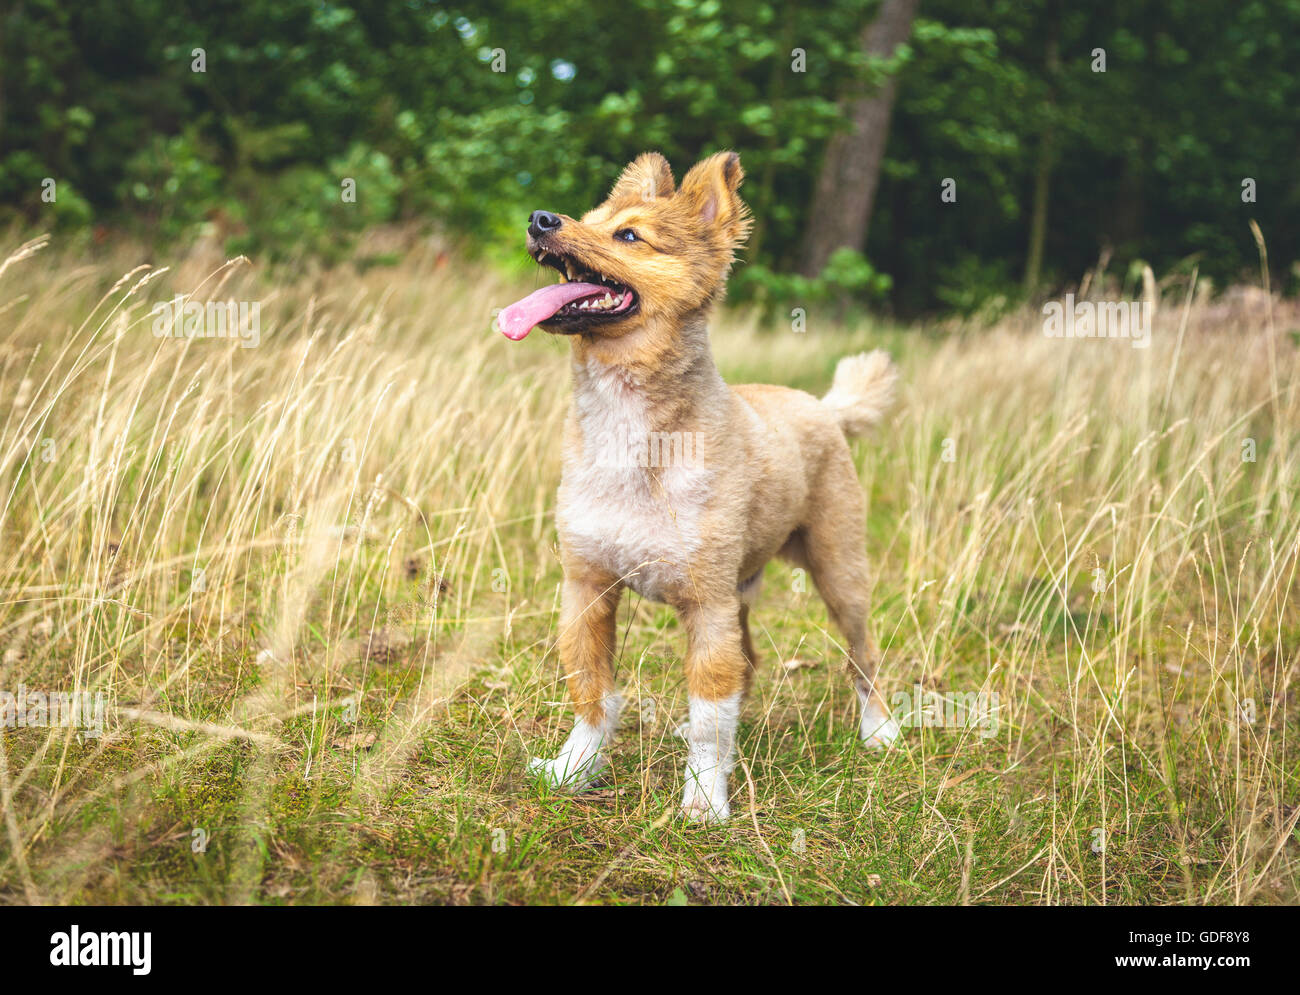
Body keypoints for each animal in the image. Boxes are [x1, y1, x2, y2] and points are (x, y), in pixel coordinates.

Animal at [491, 145, 899, 816]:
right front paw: (576, 767)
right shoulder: (586, 588)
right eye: (587, 216)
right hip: (743, 593)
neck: (629, 429)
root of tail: (824, 406)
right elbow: (592, 693)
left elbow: (710, 708)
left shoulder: (706, 605)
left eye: (628, 235)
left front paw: (706, 799)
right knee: (751, 662)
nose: (539, 218)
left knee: (862, 658)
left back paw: (880, 731)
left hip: (841, 575)